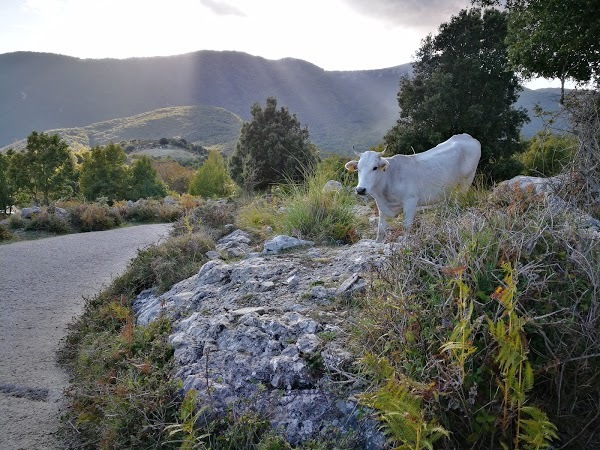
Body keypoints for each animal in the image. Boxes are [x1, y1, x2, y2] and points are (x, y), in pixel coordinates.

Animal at [344, 133, 480, 243]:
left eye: (375, 168)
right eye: (358, 168)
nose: (360, 189)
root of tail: (468, 137)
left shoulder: (411, 201)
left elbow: (406, 226)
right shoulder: (382, 207)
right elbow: (380, 230)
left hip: (465, 183)